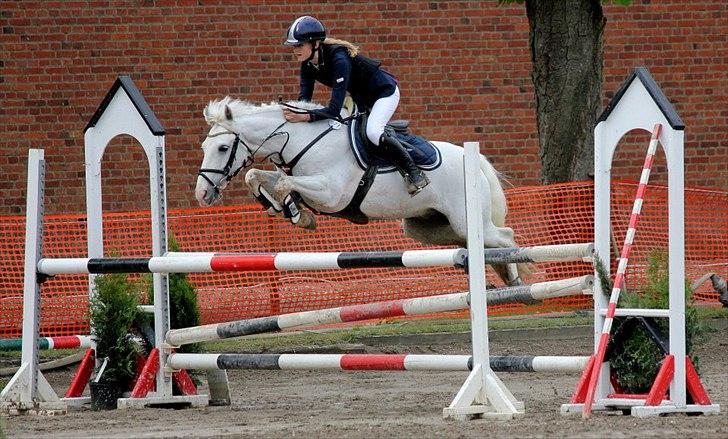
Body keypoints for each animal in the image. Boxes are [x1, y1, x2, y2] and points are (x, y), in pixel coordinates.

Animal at [195, 97, 526, 286]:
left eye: (222, 148)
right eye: (204, 147)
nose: (202, 195)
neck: (301, 140)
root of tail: (473, 160)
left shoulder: (331, 195)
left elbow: (287, 184)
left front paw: (296, 213)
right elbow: (257, 175)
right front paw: (283, 208)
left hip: (465, 219)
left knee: (504, 237)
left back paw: (516, 279)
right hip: (425, 227)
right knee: (474, 243)